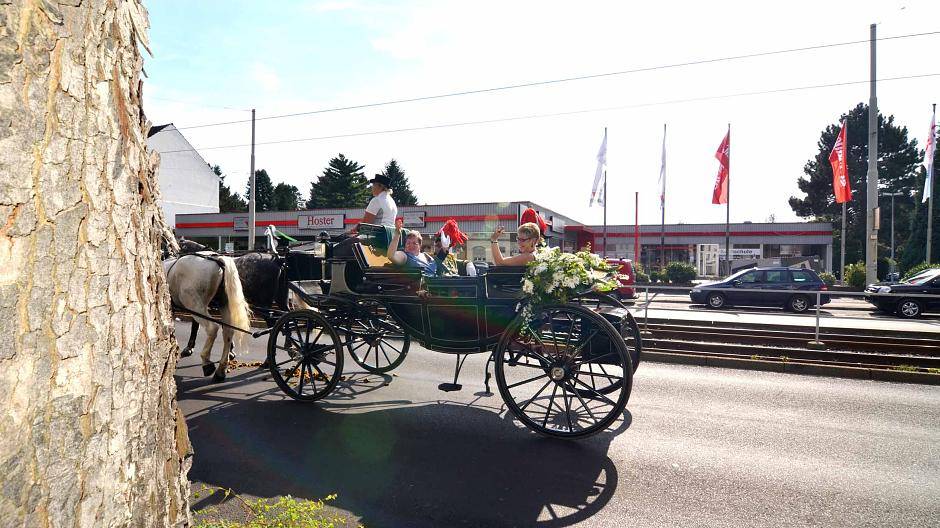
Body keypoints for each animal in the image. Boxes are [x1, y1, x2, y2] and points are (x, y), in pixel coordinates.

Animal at [164, 252, 252, 382]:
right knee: (228, 331)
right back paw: (221, 370)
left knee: (212, 328)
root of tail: (218, 259)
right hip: (222, 303)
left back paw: (207, 363)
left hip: (195, 305)